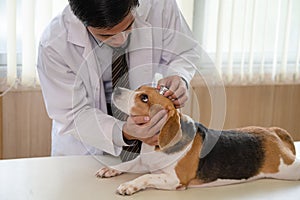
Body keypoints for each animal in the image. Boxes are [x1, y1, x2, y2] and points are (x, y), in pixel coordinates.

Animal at [96, 85, 300, 195]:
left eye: (144, 98)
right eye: (139, 89)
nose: (115, 89)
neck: (155, 147)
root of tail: (272, 132)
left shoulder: (174, 180)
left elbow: (146, 176)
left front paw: (129, 185)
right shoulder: (144, 161)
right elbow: (128, 165)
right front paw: (110, 169)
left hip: (288, 168)